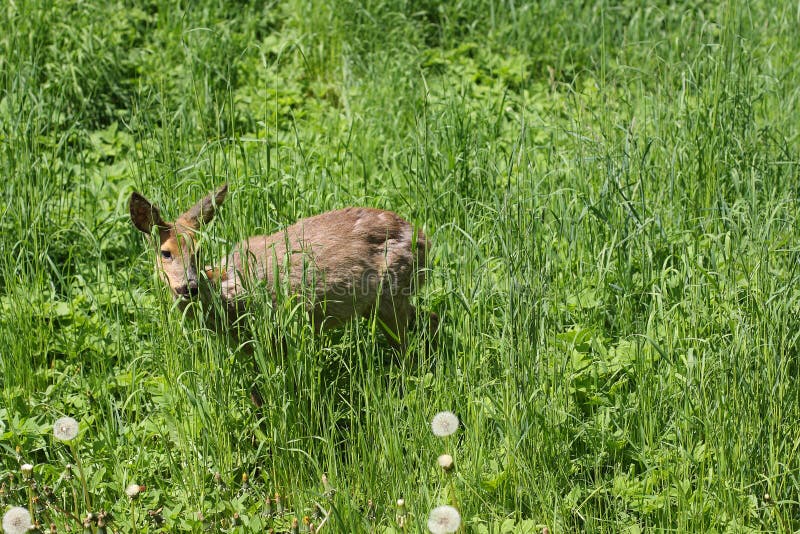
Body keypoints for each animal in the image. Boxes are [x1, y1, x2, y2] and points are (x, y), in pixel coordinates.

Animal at [129, 184, 438, 364]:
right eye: (166, 253)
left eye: (199, 250)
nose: (188, 286)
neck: (225, 291)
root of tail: (424, 239)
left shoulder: (273, 332)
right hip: (380, 303)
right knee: (429, 317)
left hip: (391, 294)